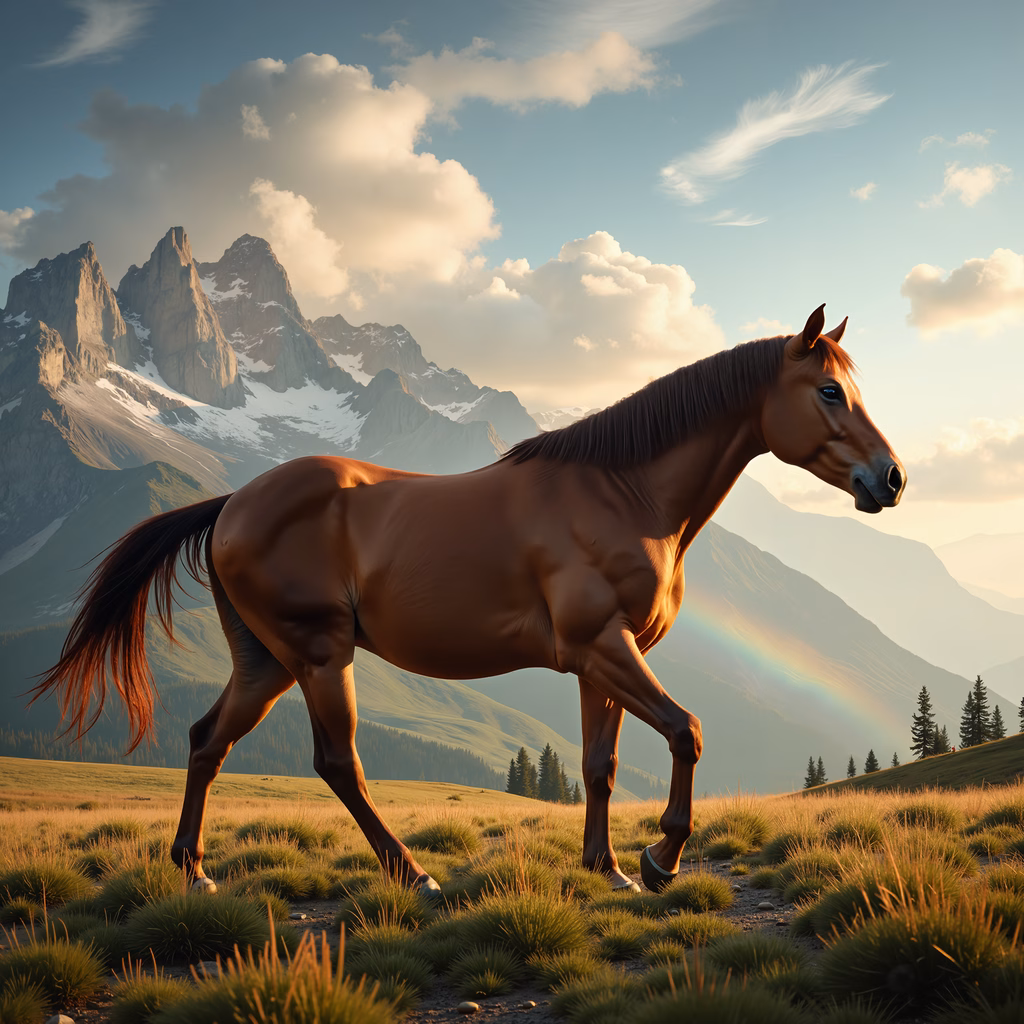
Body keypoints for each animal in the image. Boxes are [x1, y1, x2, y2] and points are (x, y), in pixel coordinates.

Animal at [33, 304, 905, 896]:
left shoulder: (604, 661)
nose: (891, 480)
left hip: (265, 664)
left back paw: (194, 870)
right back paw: (413, 874)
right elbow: (685, 731)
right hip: (318, 655)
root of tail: (230, 505)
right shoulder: (602, 646)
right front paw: (660, 860)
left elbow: (599, 765)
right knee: (337, 762)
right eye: (829, 391)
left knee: (207, 741)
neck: (620, 493)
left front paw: (607, 869)